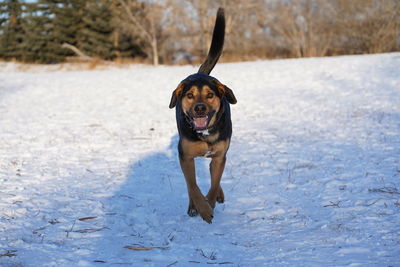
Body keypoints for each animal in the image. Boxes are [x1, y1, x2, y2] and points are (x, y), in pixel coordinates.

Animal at [168, 7, 236, 224]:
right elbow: (193, 186)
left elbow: (213, 184)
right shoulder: (185, 157)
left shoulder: (219, 157)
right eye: (189, 95)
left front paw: (210, 203)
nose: (199, 108)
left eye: (210, 95)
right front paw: (201, 208)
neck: (205, 133)